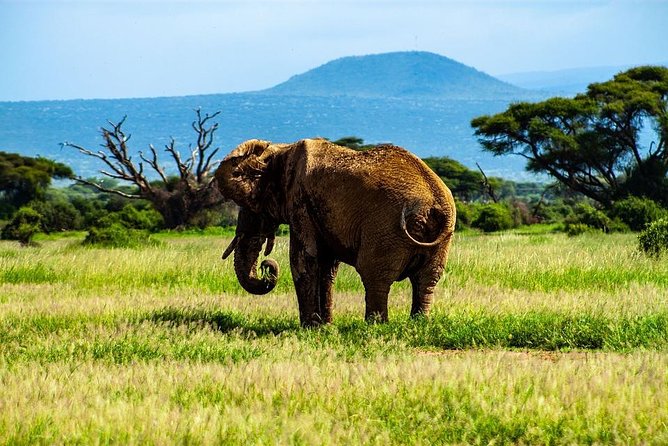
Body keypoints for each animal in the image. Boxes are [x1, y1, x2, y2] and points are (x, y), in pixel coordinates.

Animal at [217, 138, 456, 326]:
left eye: (251, 208)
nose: (267, 266)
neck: (280, 149)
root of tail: (433, 202)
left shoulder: (300, 202)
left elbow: (303, 260)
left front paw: (310, 328)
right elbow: (327, 267)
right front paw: (326, 326)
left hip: (386, 230)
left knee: (375, 276)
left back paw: (375, 326)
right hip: (439, 239)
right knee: (427, 279)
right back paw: (418, 323)